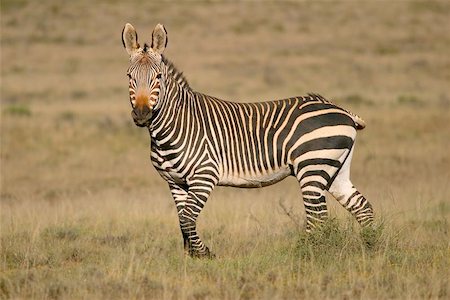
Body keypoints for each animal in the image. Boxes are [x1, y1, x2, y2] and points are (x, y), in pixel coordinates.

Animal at [121, 23, 374, 258]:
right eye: (129, 77)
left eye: (158, 77)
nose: (142, 114)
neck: (175, 125)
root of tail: (341, 109)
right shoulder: (175, 182)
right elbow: (183, 221)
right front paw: (190, 259)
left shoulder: (204, 176)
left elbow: (188, 217)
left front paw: (205, 254)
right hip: (334, 169)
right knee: (361, 206)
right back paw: (371, 248)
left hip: (312, 166)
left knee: (318, 217)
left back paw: (305, 254)